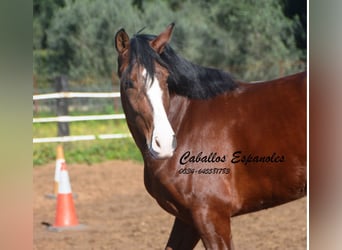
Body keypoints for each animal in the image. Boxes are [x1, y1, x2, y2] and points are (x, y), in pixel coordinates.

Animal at [113, 22, 306, 249]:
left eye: (166, 78)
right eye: (128, 83)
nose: (164, 143)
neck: (185, 120)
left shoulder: (211, 215)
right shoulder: (187, 218)